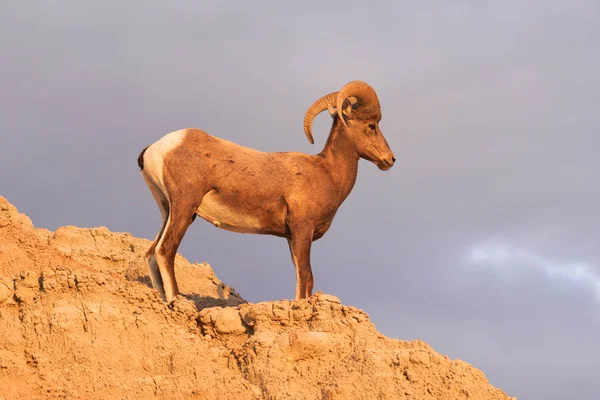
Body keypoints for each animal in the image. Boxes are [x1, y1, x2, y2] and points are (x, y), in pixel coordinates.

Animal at [138, 81, 396, 304]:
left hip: (168, 209)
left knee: (151, 254)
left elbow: (303, 279)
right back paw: (176, 300)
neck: (327, 172)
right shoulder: (302, 230)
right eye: (371, 125)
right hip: (184, 207)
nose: (390, 160)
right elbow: (305, 276)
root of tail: (155, 148)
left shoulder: (292, 238)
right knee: (165, 250)